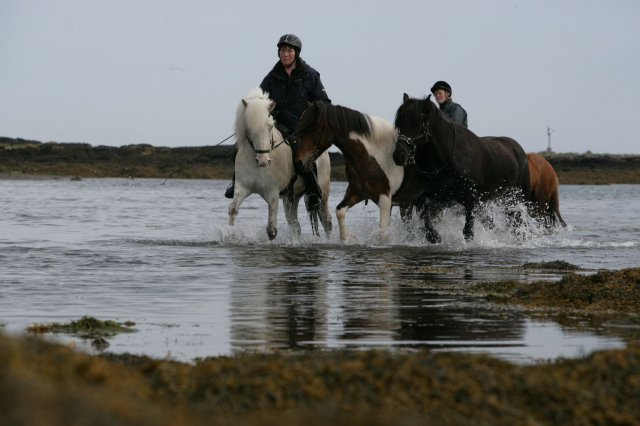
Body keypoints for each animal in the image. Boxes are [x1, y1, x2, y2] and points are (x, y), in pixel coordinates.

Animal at [228, 87, 332, 240]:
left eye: (270, 126)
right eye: (250, 128)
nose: (263, 161)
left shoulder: (272, 192)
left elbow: (271, 231)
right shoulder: (242, 188)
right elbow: (233, 209)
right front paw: (229, 235)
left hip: (323, 193)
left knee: (327, 222)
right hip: (291, 198)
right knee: (295, 226)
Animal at [292, 100, 402, 240]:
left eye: (312, 128)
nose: (298, 162)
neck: (372, 157)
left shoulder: (385, 200)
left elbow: (382, 234)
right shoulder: (356, 192)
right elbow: (340, 212)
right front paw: (347, 239)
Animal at [392, 95, 532, 241]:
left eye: (415, 123)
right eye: (398, 123)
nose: (398, 155)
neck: (448, 160)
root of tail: (518, 148)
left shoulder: (471, 200)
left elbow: (468, 232)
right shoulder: (434, 197)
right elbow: (425, 213)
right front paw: (434, 235)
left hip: (516, 199)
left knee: (516, 222)